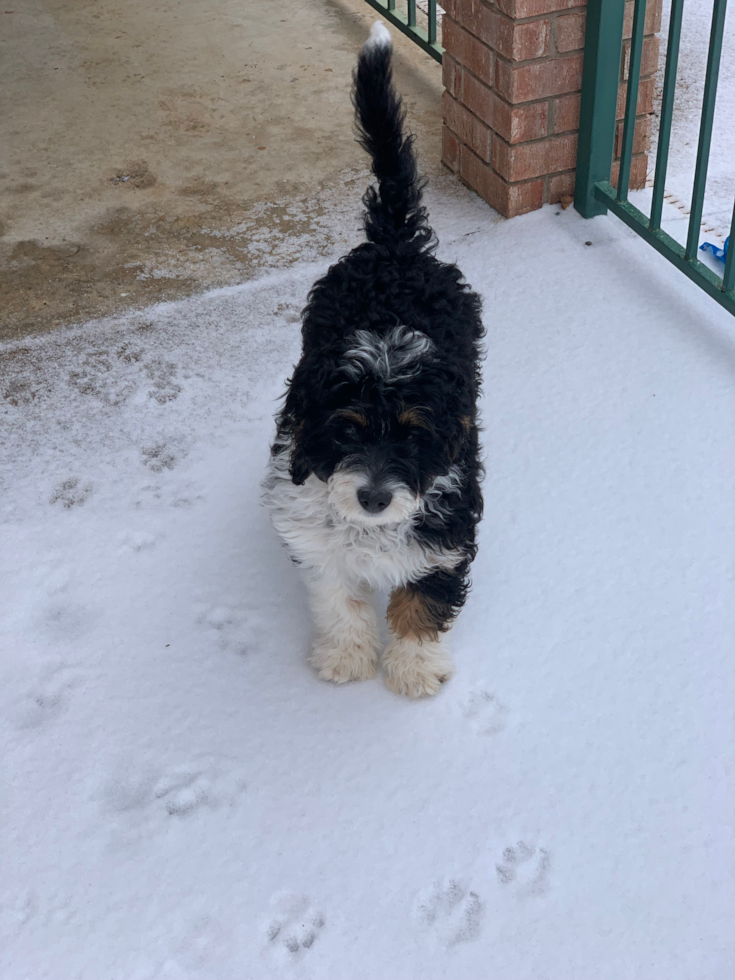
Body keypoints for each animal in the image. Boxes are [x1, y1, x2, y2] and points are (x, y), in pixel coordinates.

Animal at [264, 23, 484, 696]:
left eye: (413, 435)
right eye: (347, 430)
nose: (374, 499)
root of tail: (394, 246)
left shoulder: (444, 526)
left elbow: (423, 596)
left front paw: (413, 670)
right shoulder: (314, 530)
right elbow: (338, 597)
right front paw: (345, 658)